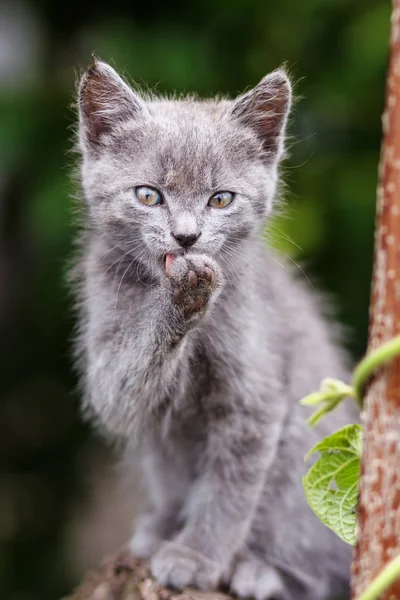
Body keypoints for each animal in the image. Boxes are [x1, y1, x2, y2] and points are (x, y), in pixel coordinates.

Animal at [72, 59, 354, 600]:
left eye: (221, 199)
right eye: (148, 195)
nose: (186, 237)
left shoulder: (256, 395)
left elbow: (229, 487)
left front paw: (196, 557)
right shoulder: (109, 368)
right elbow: (126, 390)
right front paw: (179, 296)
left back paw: (259, 571)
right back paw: (158, 529)